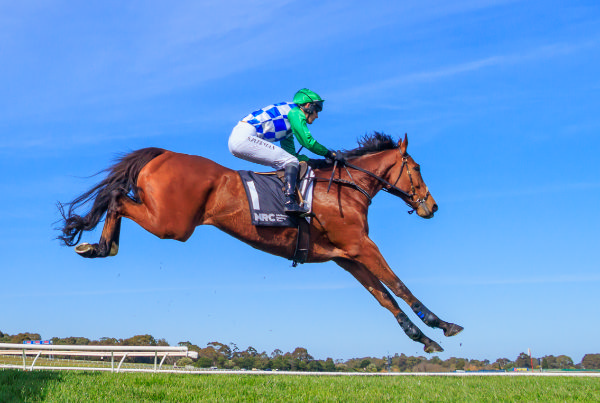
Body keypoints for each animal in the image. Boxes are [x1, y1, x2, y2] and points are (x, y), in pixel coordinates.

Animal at [58, 133, 462, 354]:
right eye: (417, 168)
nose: (432, 206)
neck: (346, 189)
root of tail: (164, 154)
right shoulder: (362, 246)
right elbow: (398, 285)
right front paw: (441, 324)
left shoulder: (346, 256)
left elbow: (383, 296)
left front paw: (422, 338)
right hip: (171, 223)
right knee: (116, 199)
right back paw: (101, 246)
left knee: (116, 200)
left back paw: (98, 247)